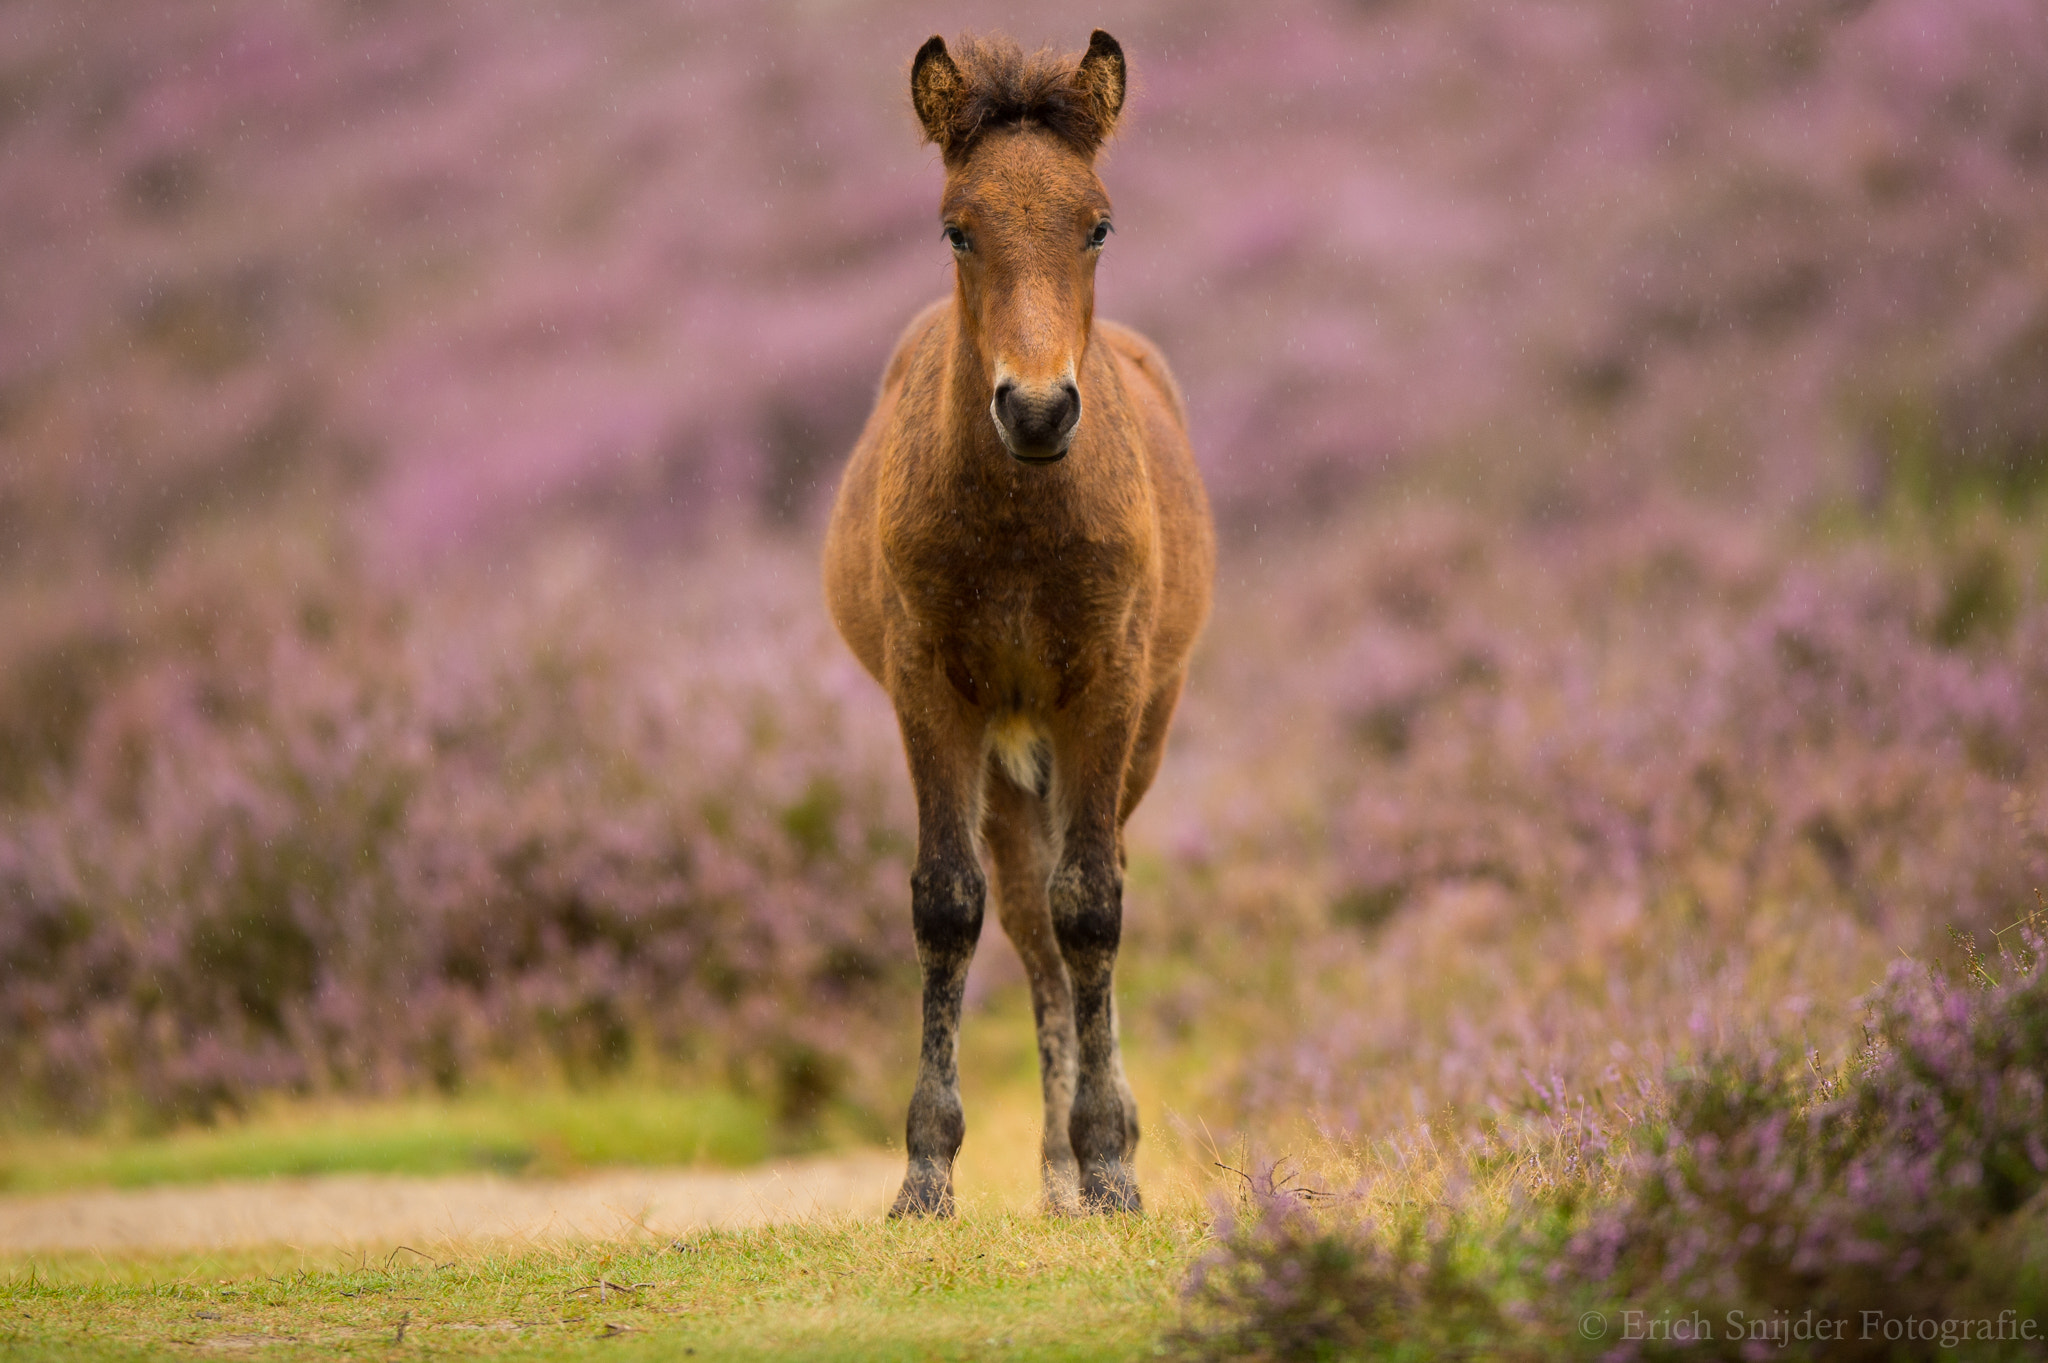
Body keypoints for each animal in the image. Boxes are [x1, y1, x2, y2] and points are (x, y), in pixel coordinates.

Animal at [823, 29, 1212, 1211]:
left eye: (1098, 222)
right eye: (957, 227)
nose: (1037, 410)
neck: (1019, 527)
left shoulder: (1109, 685)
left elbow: (1093, 904)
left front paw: (1115, 1164)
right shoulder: (931, 688)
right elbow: (951, 906)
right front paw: (925, 1174)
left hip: (1134, 728)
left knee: (1080, 896)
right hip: (1006, 752)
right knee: (1029, 924)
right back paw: (1050, 1172)